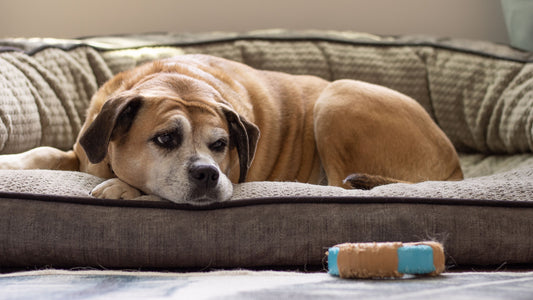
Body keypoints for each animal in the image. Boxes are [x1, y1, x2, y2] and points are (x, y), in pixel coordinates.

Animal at [0, 54, 462, 204]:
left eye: (221, 144)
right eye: (165, 138)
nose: (207, 173)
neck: (174, 79)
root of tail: (455, 166)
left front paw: (121, 187)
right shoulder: (82, 149)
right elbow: (44, 152)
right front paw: (9, 161)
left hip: (336, 99)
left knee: (340, 187)